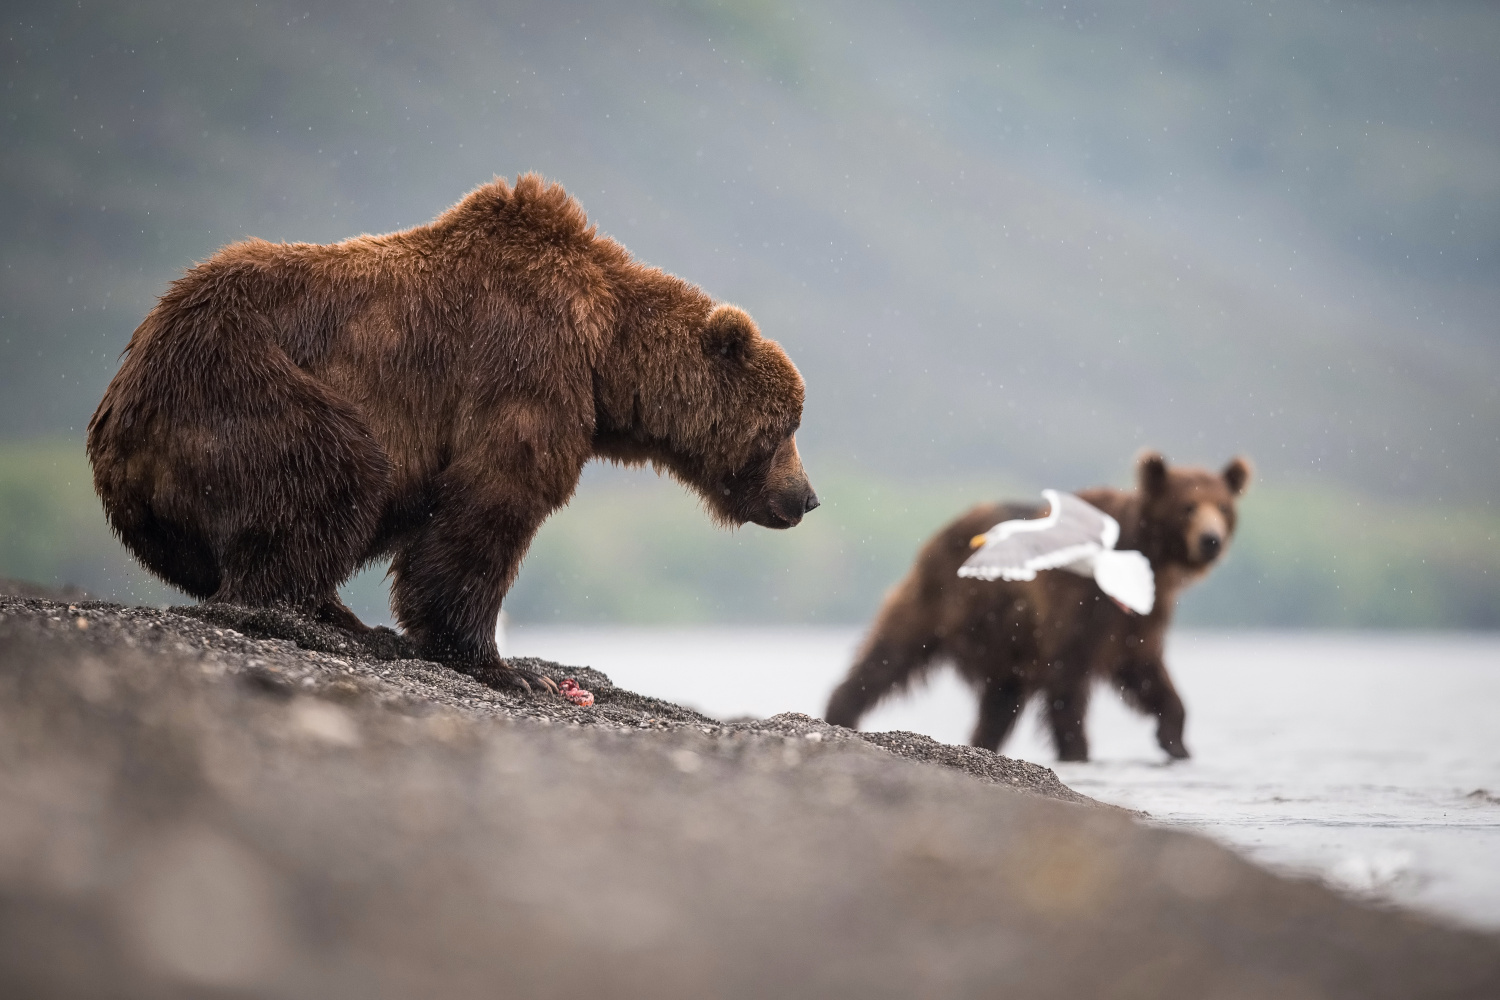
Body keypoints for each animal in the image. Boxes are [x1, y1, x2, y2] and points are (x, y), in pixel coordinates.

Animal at [90, 173, 822, 689]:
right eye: (786, 425)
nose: (807, 497)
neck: (605, 352)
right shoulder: (526, 363)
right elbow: (490, 502)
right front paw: (502, 667)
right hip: (239, 381)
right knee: (334, 468)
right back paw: (310, 616)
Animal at [828, 452, 1248, 758]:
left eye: (1223, 507)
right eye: (1189, 506)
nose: (1211, 541)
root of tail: (946, 527)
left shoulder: (1139, 619)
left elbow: (1146, 670)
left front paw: (1175, 741)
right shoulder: (1077, 607)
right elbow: (1068, 678)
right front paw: (1077, 750)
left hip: (1004, 641)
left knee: (1000, 700)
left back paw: (982, 742)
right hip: (940, 599)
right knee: (889, 655)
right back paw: (841, 711)